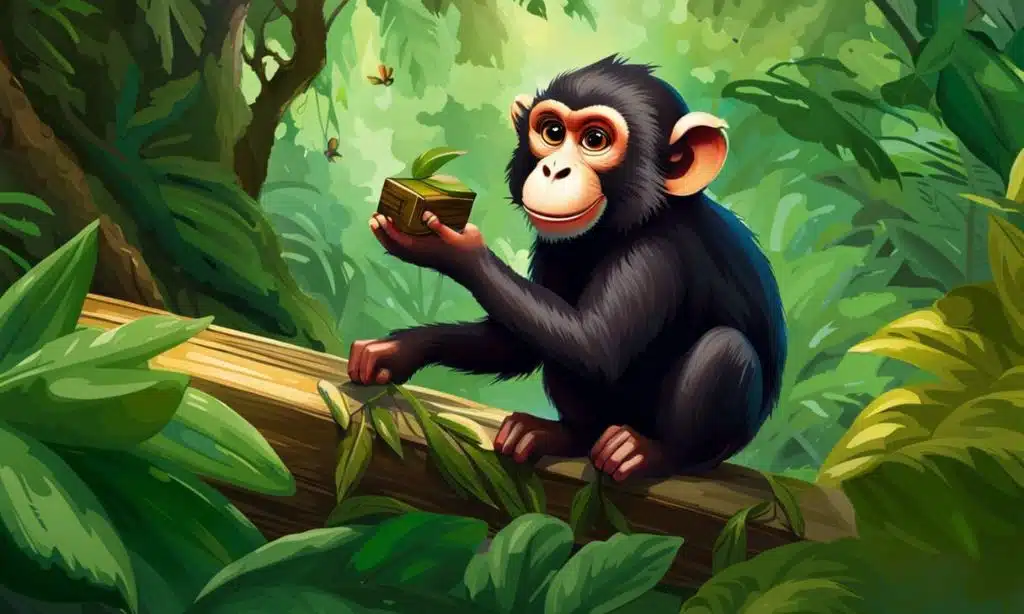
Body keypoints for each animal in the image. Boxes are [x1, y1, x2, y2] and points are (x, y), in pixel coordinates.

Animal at [348, 55, 787, 482]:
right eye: (553, 131)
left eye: (595, 140)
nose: (554, 169)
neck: (623, 224)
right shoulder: (551, 249)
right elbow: (523, 341)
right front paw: (397, 351)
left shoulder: (655, 254)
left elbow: (594, 344)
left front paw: (455, 251)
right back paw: (564, 435)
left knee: (725, 350)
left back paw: (651, 453)